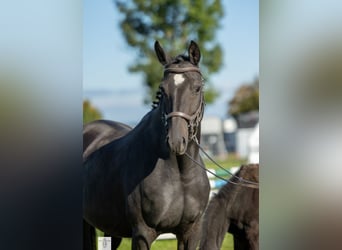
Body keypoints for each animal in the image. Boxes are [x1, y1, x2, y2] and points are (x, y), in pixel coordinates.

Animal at [83, 40, 211, 249]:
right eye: (163, 90)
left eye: (197, 88)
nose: (176, 141)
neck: (180, 174)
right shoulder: (143, 233)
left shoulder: (191, 232)